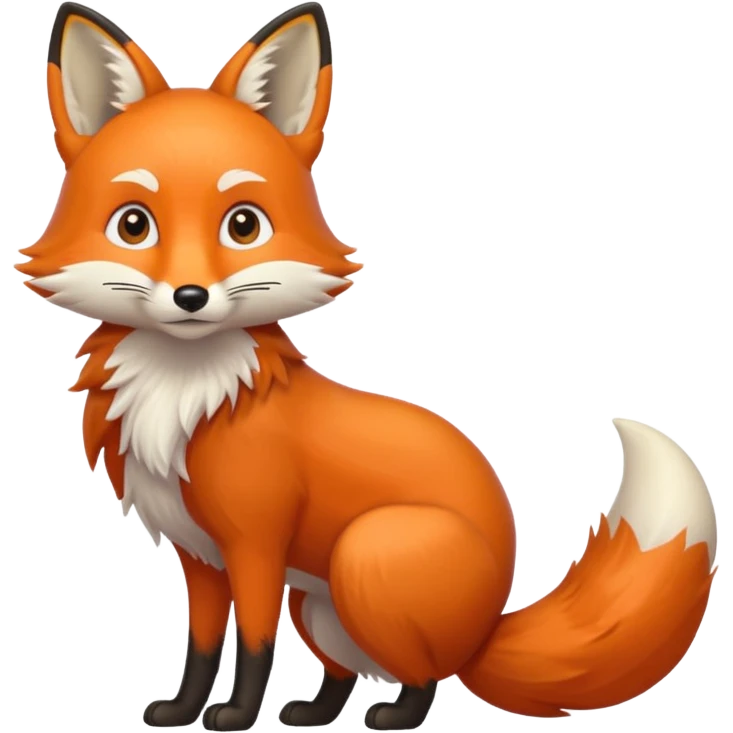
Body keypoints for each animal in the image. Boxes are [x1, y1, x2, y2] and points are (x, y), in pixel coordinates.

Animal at [17, 2, 719, 731]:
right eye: (134, 225)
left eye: (243, 225)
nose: (190, 296)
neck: (189, 397)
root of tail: (487, 626)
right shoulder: (201, 558)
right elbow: (203, 643)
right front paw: (183, 708)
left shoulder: (256, 545)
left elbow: (254, 641)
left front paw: (234, 715)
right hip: (318, 603)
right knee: (345, 670)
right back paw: (314, 711)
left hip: (365, 553)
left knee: (426, 675)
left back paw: (395, 716)